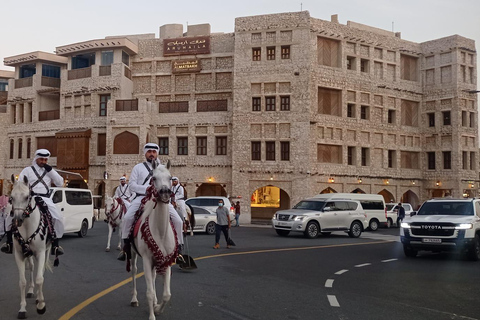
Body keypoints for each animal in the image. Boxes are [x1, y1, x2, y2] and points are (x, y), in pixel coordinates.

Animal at [9, 176, 52, 318]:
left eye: (27, 197)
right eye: (11, 198)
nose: (17, 220)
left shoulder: (40, 252)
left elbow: (40, 279)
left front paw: (41, 306)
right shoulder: (19, 254)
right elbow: (22, 282)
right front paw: (22, 309)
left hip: (46, 250)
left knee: (41, 272)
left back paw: (38, 296)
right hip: (28, 252)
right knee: (32, 267)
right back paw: (31, 291)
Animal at [129, 161, 178, 318]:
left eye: (170, 177)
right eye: (154, 178)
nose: (165, 193)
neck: (161, 232)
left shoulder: (167, 259)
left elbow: (167, 294)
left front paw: (157, 308)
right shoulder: (146, 259)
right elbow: (149, 292)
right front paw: (152, 315)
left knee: (154, 275)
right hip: (133, 252)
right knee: (134, 270)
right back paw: (134, 299)